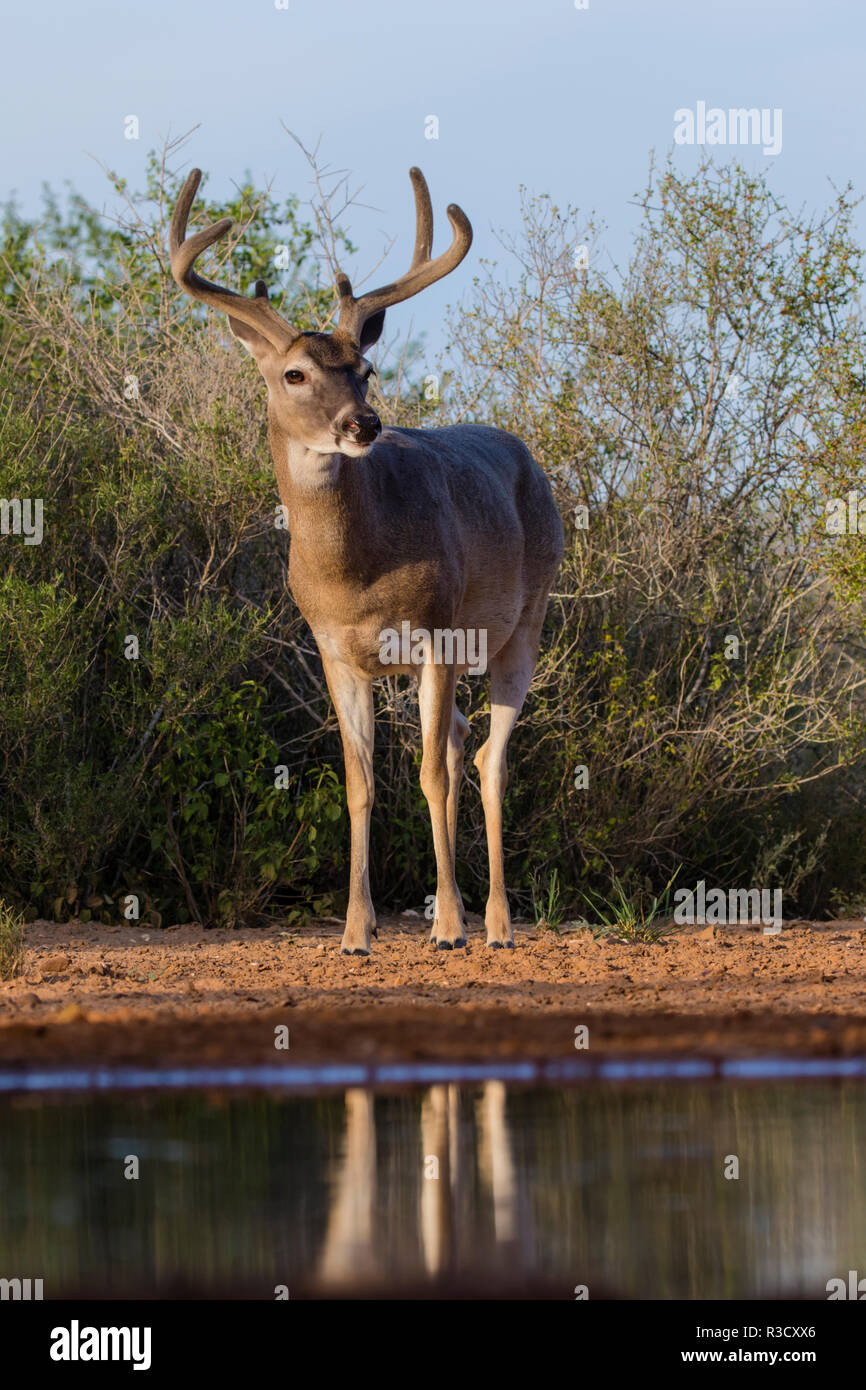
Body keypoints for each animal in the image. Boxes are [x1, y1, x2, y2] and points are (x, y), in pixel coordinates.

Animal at [170, 162, 567, 956]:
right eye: (294, 374)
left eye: (367, 366)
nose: (363, 423)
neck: (354, 574)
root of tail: (529, 459)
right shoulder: (336, 650)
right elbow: (360, 782)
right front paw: (357, 930)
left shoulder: (438, 632)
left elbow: (430, 775)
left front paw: (447, 926)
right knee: (464, 743)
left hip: (524, 622)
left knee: (487, 760)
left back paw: (496, 924)